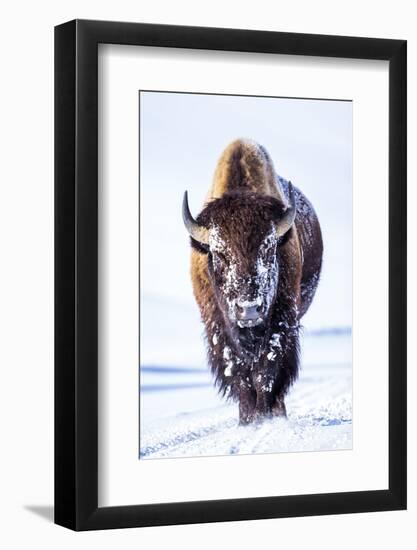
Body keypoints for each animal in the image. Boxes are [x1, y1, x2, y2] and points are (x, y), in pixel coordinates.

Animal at [181, 140, 322, 424]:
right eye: (219, 254)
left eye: (269, 249)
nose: (249, 310)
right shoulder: (218, 328)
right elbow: (238, 374)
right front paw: (248, 420)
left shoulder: (281, 321)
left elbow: (266, 370)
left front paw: (265, 417)